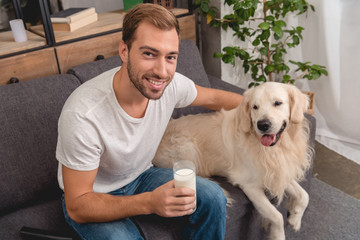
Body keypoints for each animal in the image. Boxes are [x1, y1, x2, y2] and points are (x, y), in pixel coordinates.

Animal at [153, 82, 310, 240]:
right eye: (255, 107)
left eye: (277, 103)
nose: (262, 125)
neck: (275, 149)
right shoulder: (249, 184)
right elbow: (276, 216)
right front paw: (278, 233)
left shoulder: (280, 171)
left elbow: (304, 195)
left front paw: (295, 218)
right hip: (187, 146)